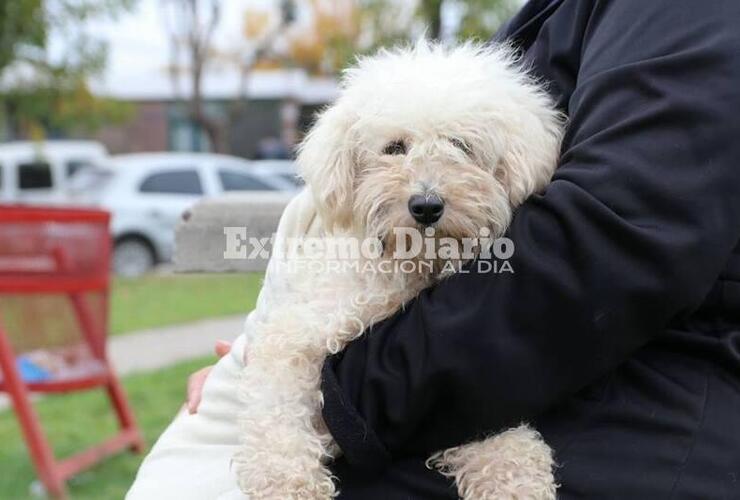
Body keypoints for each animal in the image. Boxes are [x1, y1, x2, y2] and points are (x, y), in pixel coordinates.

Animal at [234, 44, 564, 500]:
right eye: (394, 147)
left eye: (460, 145)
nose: (426, 205)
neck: (412, 266)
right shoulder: (298, 331)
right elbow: (275, 410)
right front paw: (287, 481)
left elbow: (472, 402)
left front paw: (511, 469)